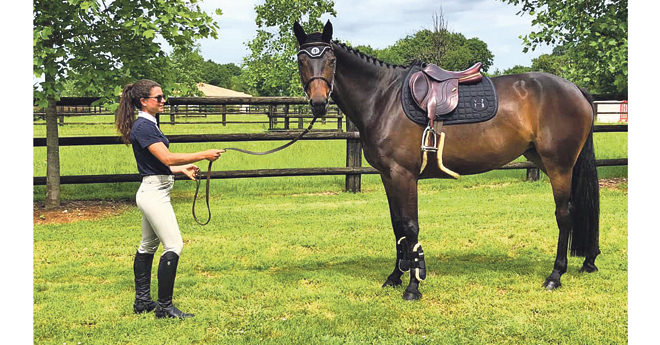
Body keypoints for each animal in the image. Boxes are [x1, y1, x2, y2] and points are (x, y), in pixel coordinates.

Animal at [292, 20, 600, 298]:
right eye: (301, 59)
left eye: (331, 59)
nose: (318, 103)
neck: (383, 99)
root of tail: (574, 88)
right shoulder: (388, 176)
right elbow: (397, 226)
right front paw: (395, 276)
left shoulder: (404, 175)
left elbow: (410, 226)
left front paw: (413, 285)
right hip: (548, 162)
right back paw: (587, 260)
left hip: (559, 165)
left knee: (564, 214)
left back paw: (555, 275)